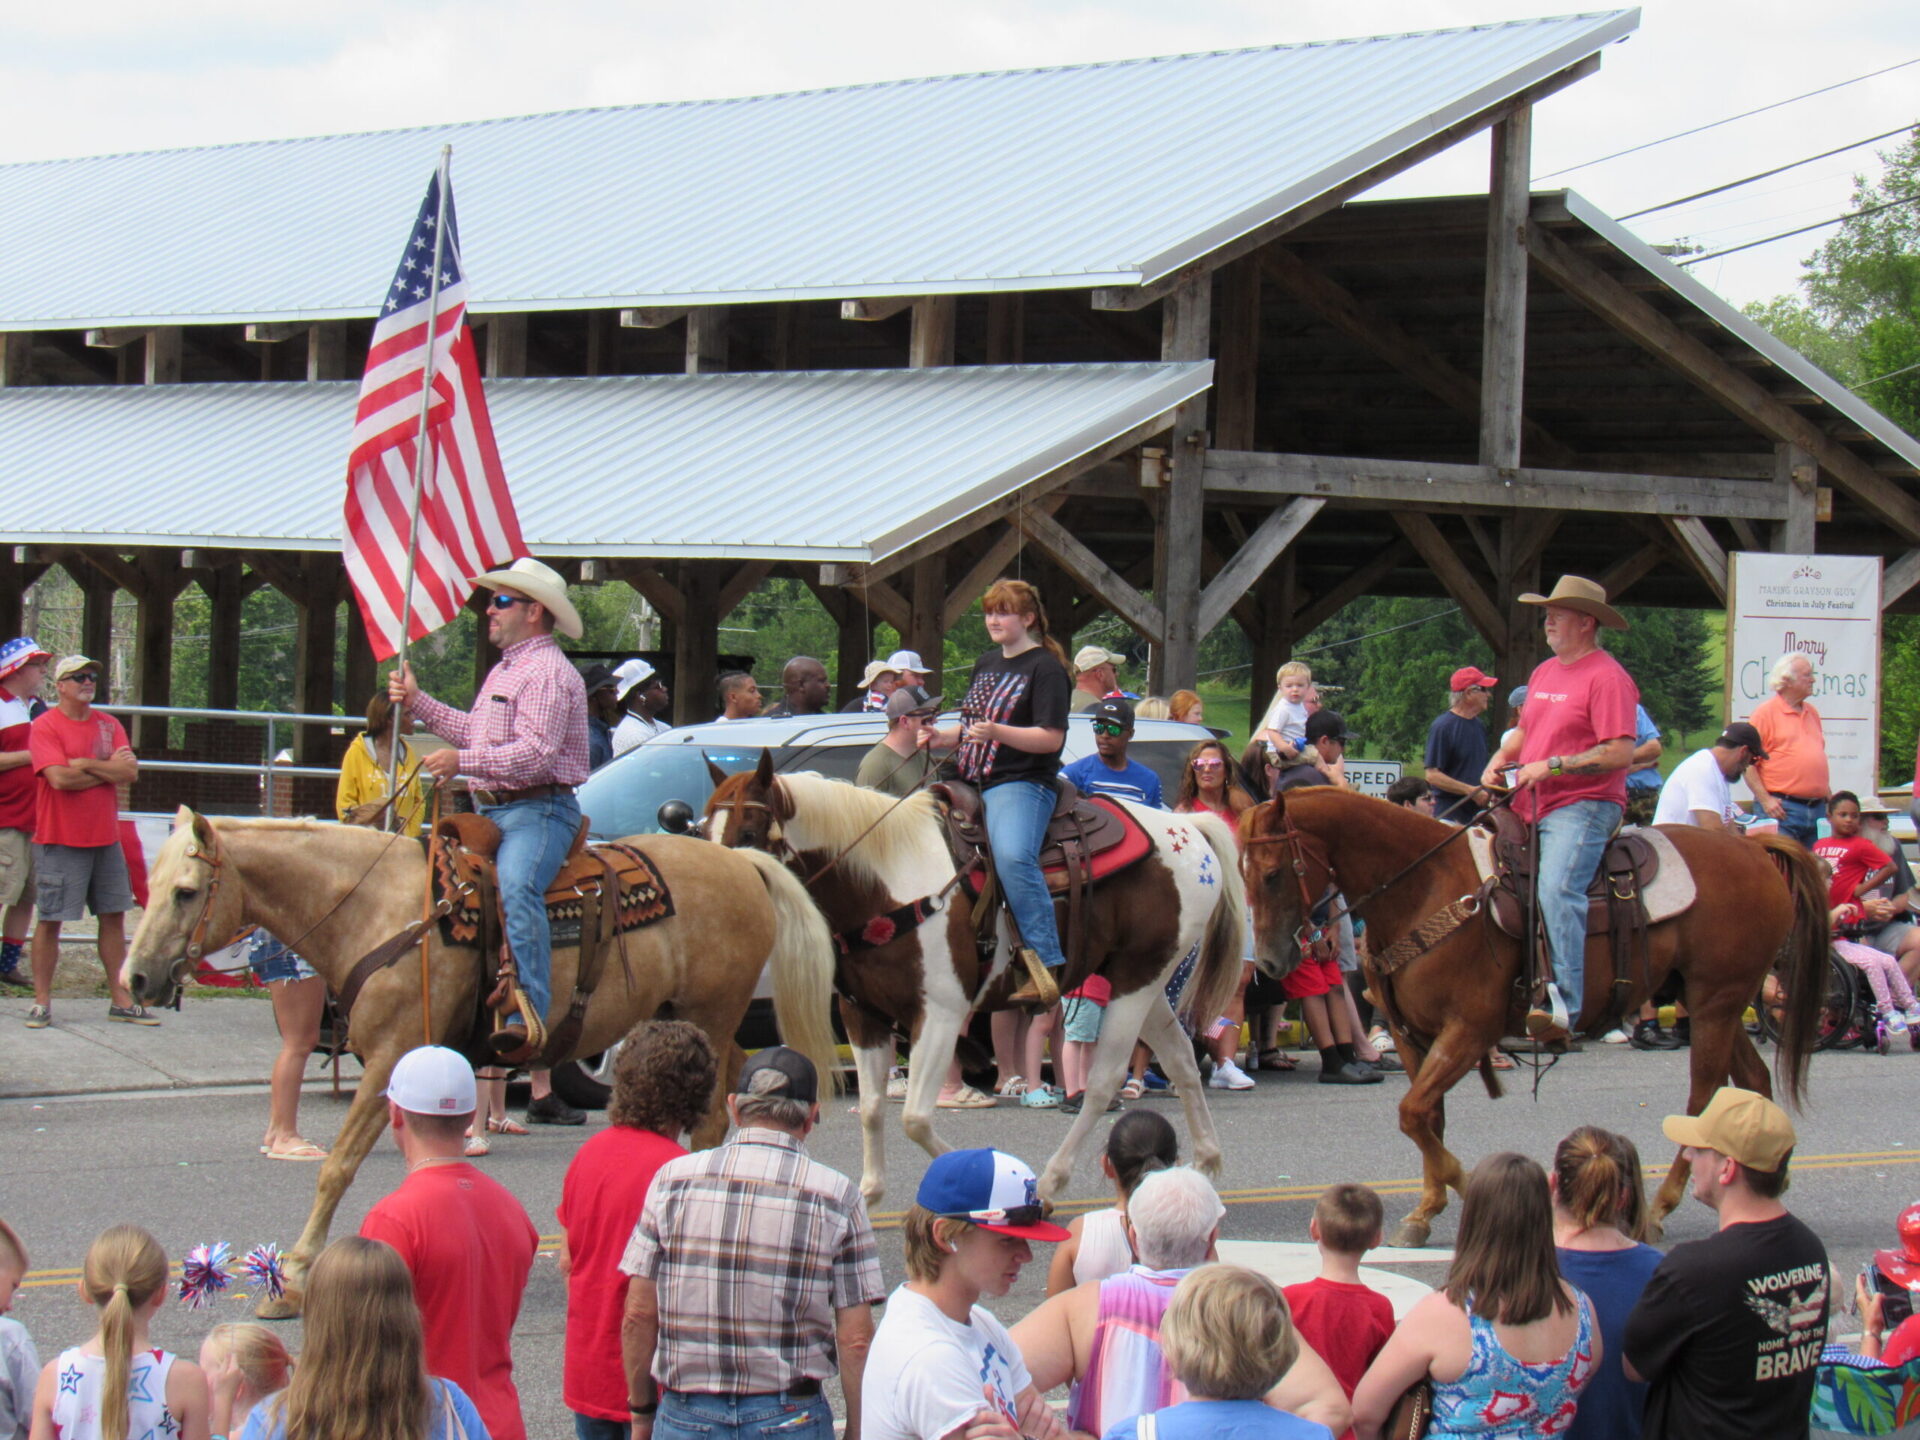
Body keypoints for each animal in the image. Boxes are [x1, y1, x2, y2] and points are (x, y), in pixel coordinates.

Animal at [123, 814, 837, 1320]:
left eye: (186, 892)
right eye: (151, 888)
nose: (135, 979)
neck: (377, 910)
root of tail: (741, 859)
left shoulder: (390, 1058)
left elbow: (337, 1167)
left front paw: (294, 1280)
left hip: (710, 1014)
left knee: (713, 1117)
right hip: (698, 1020)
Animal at [706, 756, 1244, 1205]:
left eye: (749, 829)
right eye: (702, 829)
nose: (726, 889)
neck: (885, 882)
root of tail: (1186, 828)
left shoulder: (940, 1014)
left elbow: (915, 1118)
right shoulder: (863, 1017)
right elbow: (875, 1107)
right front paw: (870, 1196)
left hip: (1138, 978)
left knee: (1104, 1080)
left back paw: (1052, 1180)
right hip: (1139, 981)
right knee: (1180, 1058)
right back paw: (1205, 1162)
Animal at [1236, 791, 1820, 1251]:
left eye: (1272, 873)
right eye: (1243, 876)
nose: (1268, 963)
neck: (1423, 885)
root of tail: (1753, 850)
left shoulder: (1468, 1030)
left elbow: (1412, 1113)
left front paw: (1470, 1188)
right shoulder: (1410, 1036)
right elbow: (1426, 1119)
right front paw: (1424, 1213)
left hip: (1717, 1000)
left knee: (1703, 1098)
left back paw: (1660, 1208)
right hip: (1713, 1004)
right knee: (1751, 1081)